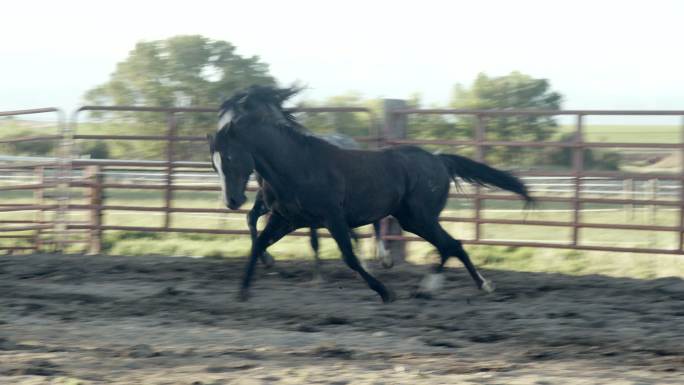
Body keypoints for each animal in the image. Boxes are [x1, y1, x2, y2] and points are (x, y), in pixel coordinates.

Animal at [208, 85, 536, 302]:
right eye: (214, 162)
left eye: (231, 157)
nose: (232, 201)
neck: (297, 164)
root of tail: (439, 159)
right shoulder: (285, 219)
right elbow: (257, 245)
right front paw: (242, 290)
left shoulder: (332, 218)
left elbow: (350, 257)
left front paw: (384, 291)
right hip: (412, 219)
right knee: (451, 246)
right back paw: (449, 286)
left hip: (420, 218)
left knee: (452, 244)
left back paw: (452, 286)